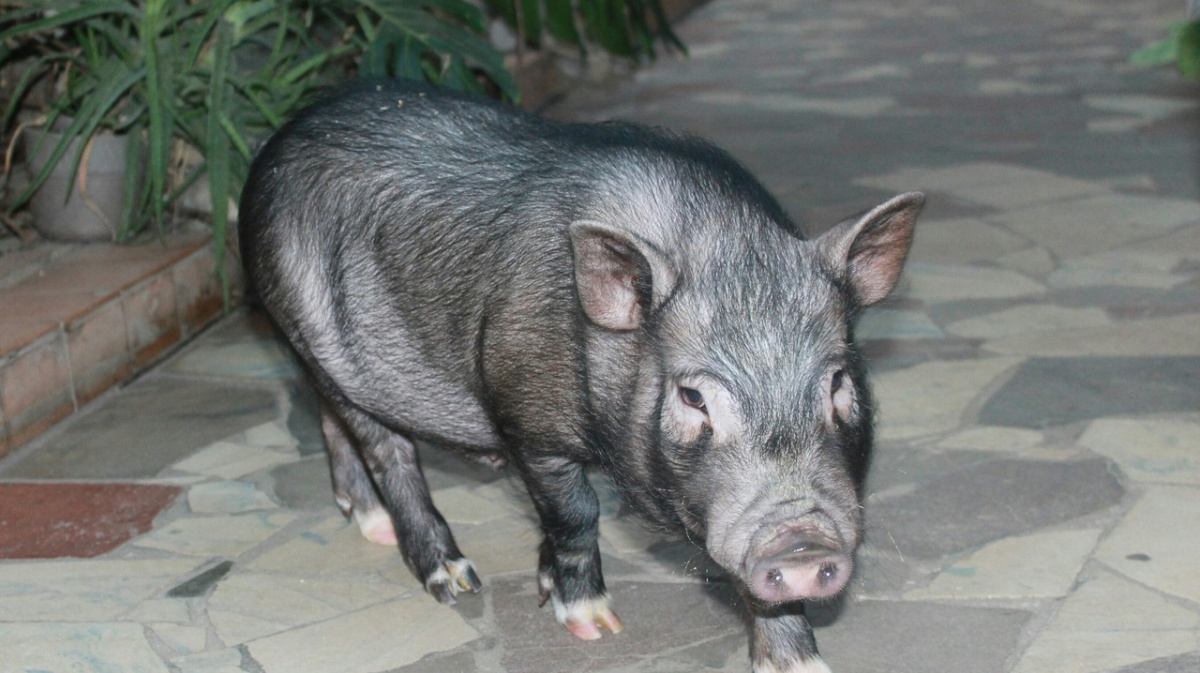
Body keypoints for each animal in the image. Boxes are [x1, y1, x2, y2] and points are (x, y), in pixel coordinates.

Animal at [238, 79, 921, 671]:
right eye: (693, 397)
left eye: (838, 383)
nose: (801, 542)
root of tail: (277, 139)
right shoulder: (525, 416)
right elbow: (574, 512)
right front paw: (594, 625)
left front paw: (805, 665)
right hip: (298, 313)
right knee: (386, 449)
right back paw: (456, 580)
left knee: (331, 415)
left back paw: (370, 525)